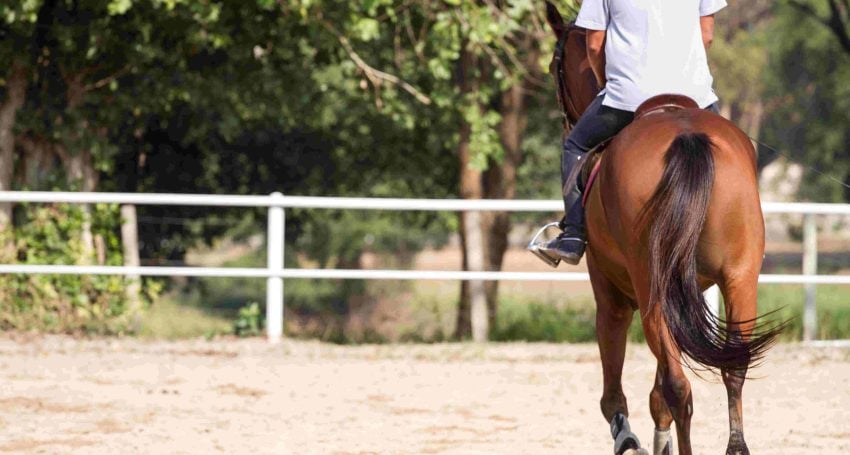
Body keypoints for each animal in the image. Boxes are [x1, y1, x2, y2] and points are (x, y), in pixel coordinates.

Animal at [544, 4, 780, 455]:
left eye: (554, 66)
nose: (564, 122)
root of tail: (687, 137)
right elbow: (658, 394)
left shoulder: (611, 295)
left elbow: (616, 393)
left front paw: (628, 438)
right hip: (738, 278)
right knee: (732, 367)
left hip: (652, 288)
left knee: (678, 386)